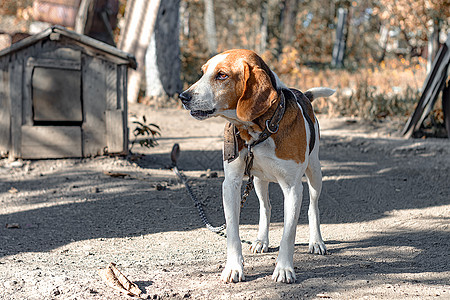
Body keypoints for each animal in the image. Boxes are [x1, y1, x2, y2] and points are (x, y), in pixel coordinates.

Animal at [179, 49, 334, 284]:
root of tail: (304, 96)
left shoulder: (292, 188)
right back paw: (262, 240)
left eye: (222, 75)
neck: (258, 131)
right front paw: (233, 268)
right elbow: (233, 232)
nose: (183, 97)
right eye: (203, 72)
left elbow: (289, 233)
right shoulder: (231, 184)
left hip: (315, 173)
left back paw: (316, 242)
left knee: (313, 207)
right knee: (265, 207)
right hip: (259, 181)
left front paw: (284, 269)